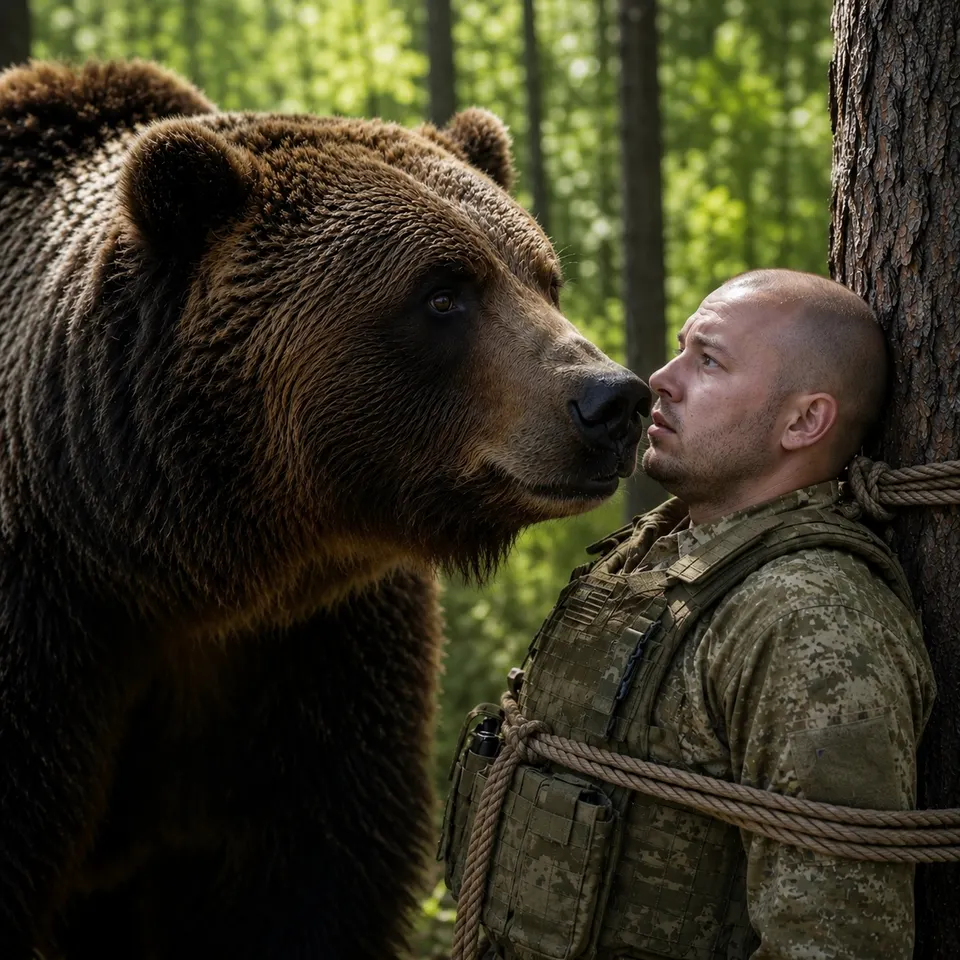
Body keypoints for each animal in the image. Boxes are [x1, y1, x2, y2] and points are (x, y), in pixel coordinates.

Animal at [0, 60, 649, 959]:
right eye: (442, 293)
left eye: (544, 276)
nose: (611, 401)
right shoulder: (49, 633)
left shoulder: (318, 651)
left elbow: (313, 875)